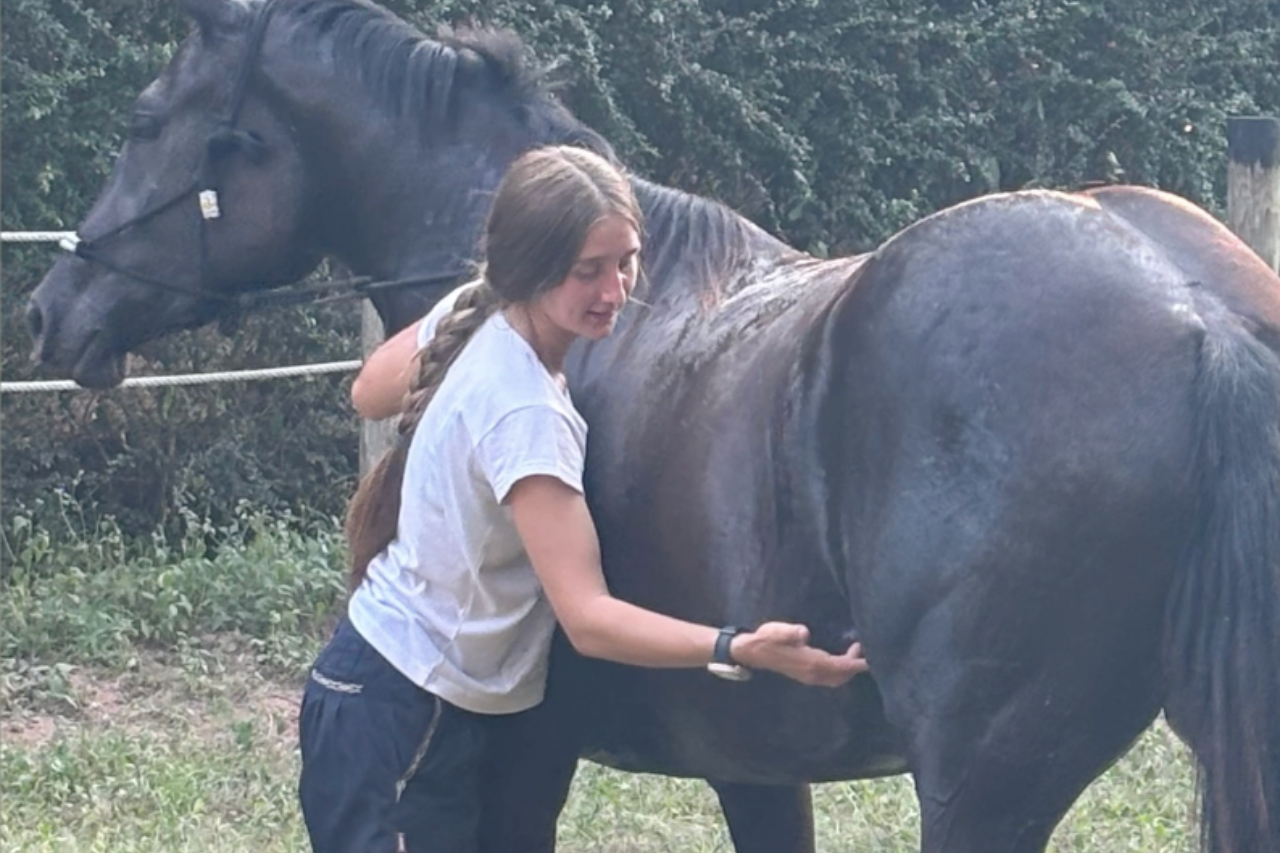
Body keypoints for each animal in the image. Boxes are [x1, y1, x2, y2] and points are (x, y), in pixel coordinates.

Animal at [25, 0, 1280, 850]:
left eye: (145, 120)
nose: (48, 310)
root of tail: (1197, 314)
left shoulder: (527, 753)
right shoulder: (756, 768)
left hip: (980, 788)